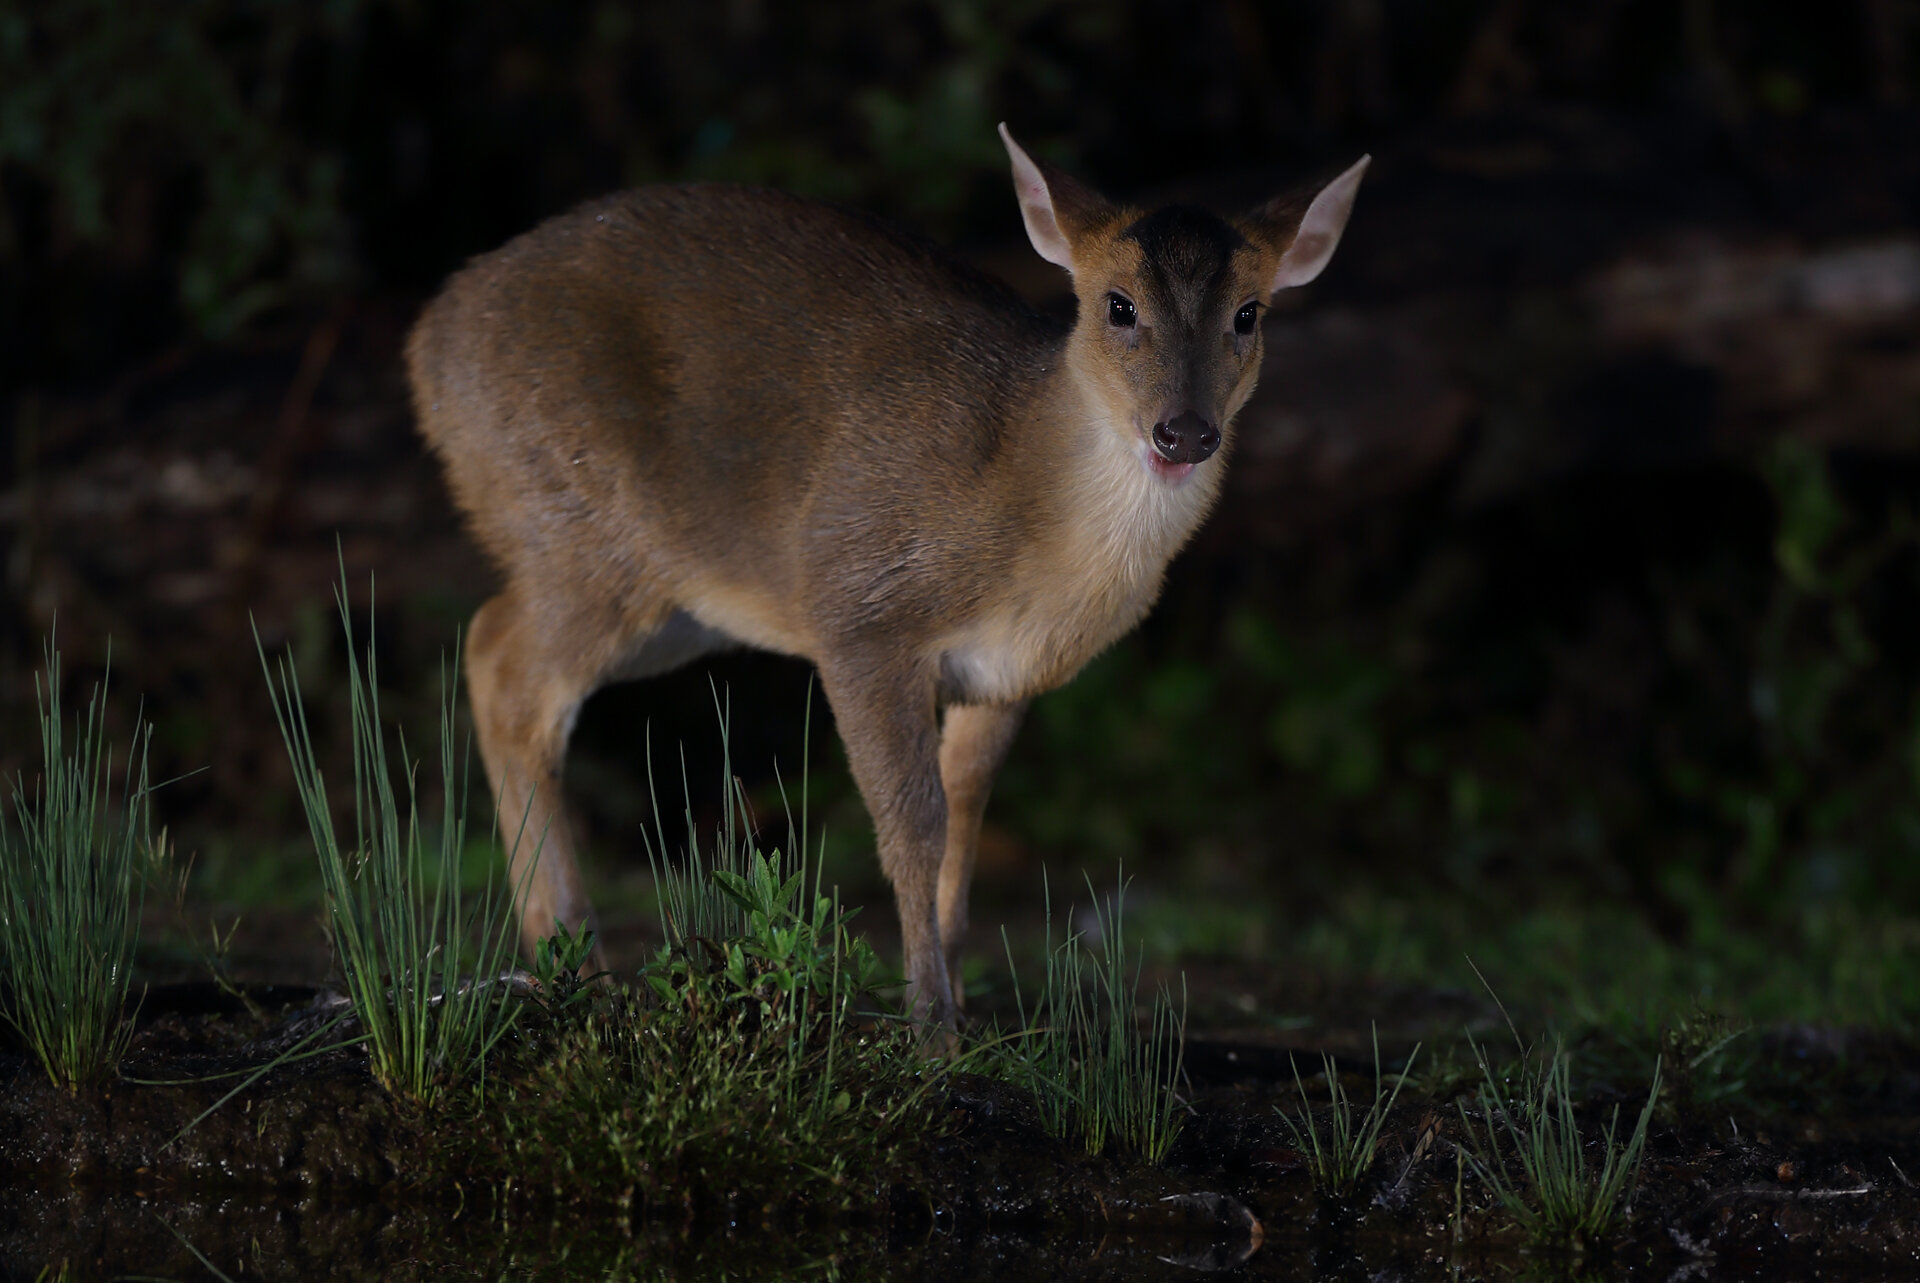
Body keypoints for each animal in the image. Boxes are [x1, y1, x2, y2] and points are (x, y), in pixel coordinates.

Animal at [408, 124, 1367, 1029]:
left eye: (1249, 313)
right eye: (1118, 305)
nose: (1184, 431)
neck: (1025, 509)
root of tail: (425, 352)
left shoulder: (1003, 671)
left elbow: (966, 812)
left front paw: (960, 999)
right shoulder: (860, 605)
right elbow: (911, 820)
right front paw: (928, 1023)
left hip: (672, 602)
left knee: (499, 656)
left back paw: (559, 955)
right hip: (582, 528)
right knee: (501, 659)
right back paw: (572, 956)